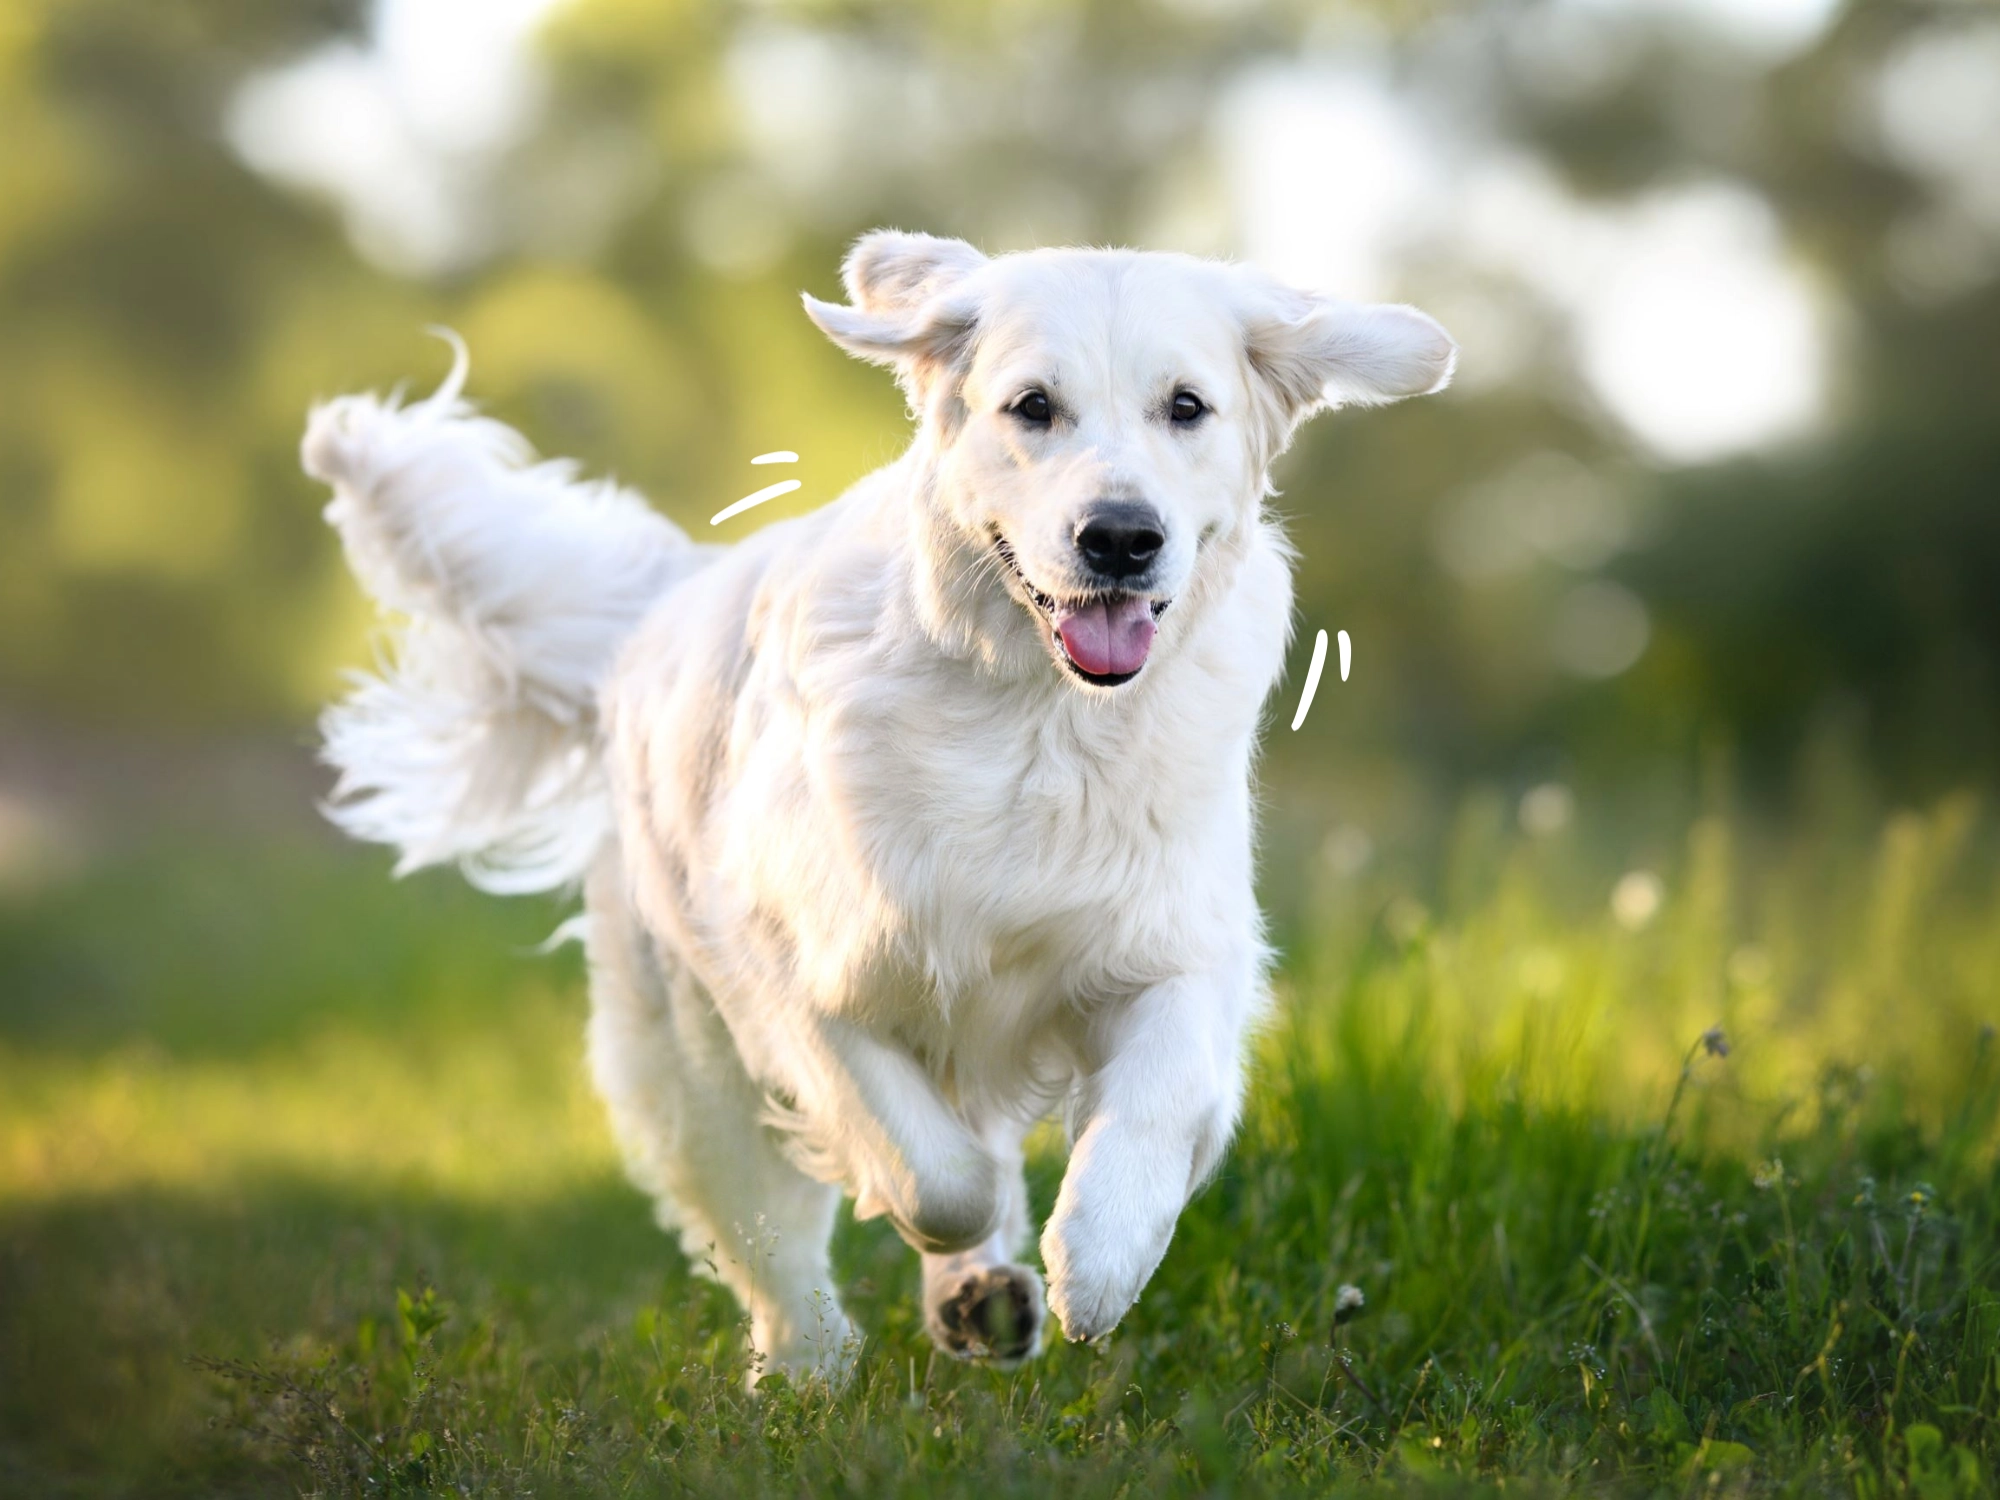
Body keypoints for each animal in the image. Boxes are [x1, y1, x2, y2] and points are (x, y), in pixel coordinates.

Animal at [300, 238, 1456, 1384]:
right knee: (766, 1232)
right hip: (681, 1055)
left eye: (1187, 407)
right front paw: (963, 1243)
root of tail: (664, 600)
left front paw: (1099, 1261)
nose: (1121, 537)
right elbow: (932, 1171)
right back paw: (806, 1367)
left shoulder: (1174, 944)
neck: (1038, 712)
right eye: (1031, 406)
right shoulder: (801, 972)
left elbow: (1154, 1102)